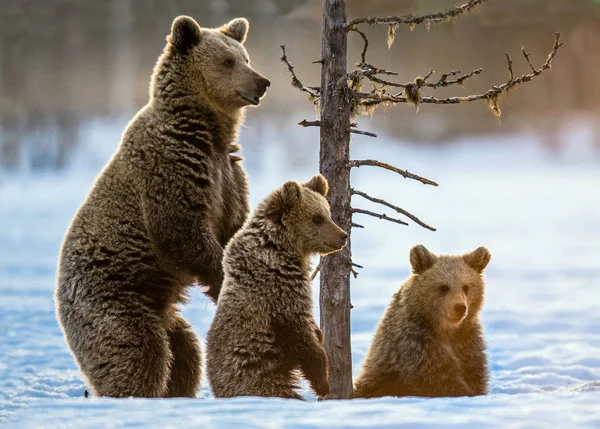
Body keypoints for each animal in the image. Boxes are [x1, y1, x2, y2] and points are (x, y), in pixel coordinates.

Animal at [54, 16, 270, 398]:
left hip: (161, 309)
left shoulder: (229, 174)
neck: (206, 132)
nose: (261, 82)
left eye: (245, 56)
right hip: (112, 298)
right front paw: (222, 280)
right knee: (137, 349)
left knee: (184, 353)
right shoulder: (170, 168)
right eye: (227, 61)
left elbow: (235, 226)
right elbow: (182, 230)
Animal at [206, 173, 346, 398]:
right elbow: (301, 335)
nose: (343, 236)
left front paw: (319, 333)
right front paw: (322, 383)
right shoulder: (279, 291)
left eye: (328, 213)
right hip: (258, 376)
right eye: (317, 218)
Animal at [354, 244, 490, 398]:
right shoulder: (418, 346)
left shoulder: (467, 343)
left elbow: (473, 375)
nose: (460, 307)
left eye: (466, 286)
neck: (446, 330)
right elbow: (441, 379)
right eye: (444, 287)